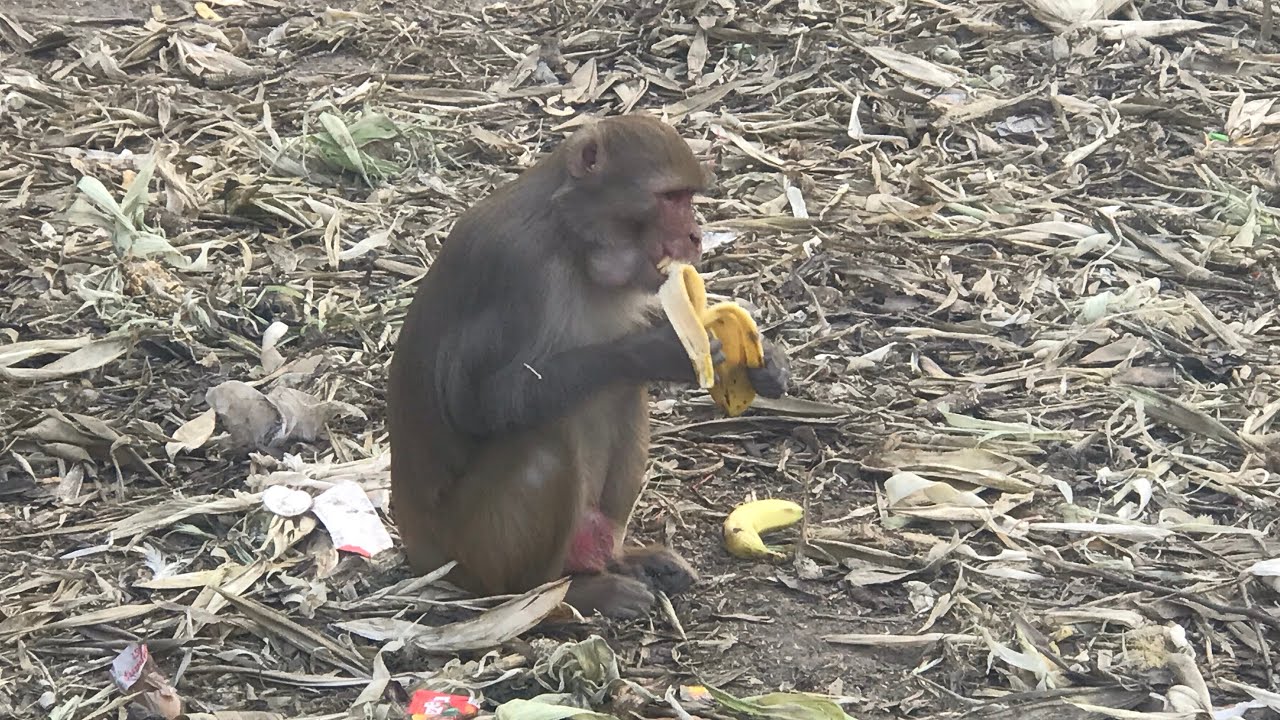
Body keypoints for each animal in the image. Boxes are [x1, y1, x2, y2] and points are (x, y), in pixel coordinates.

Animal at [387, 113, 791, 619]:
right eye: (669, 198)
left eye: (688, 199)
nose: (696, 236)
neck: (572, 242)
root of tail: (419, 552)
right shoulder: (517, 268)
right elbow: (481, 404)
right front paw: (659, 352)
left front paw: (768, 362)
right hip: (466, 555)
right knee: (546, 444)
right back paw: (558, 595)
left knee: (623, 394)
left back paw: (621, 558)